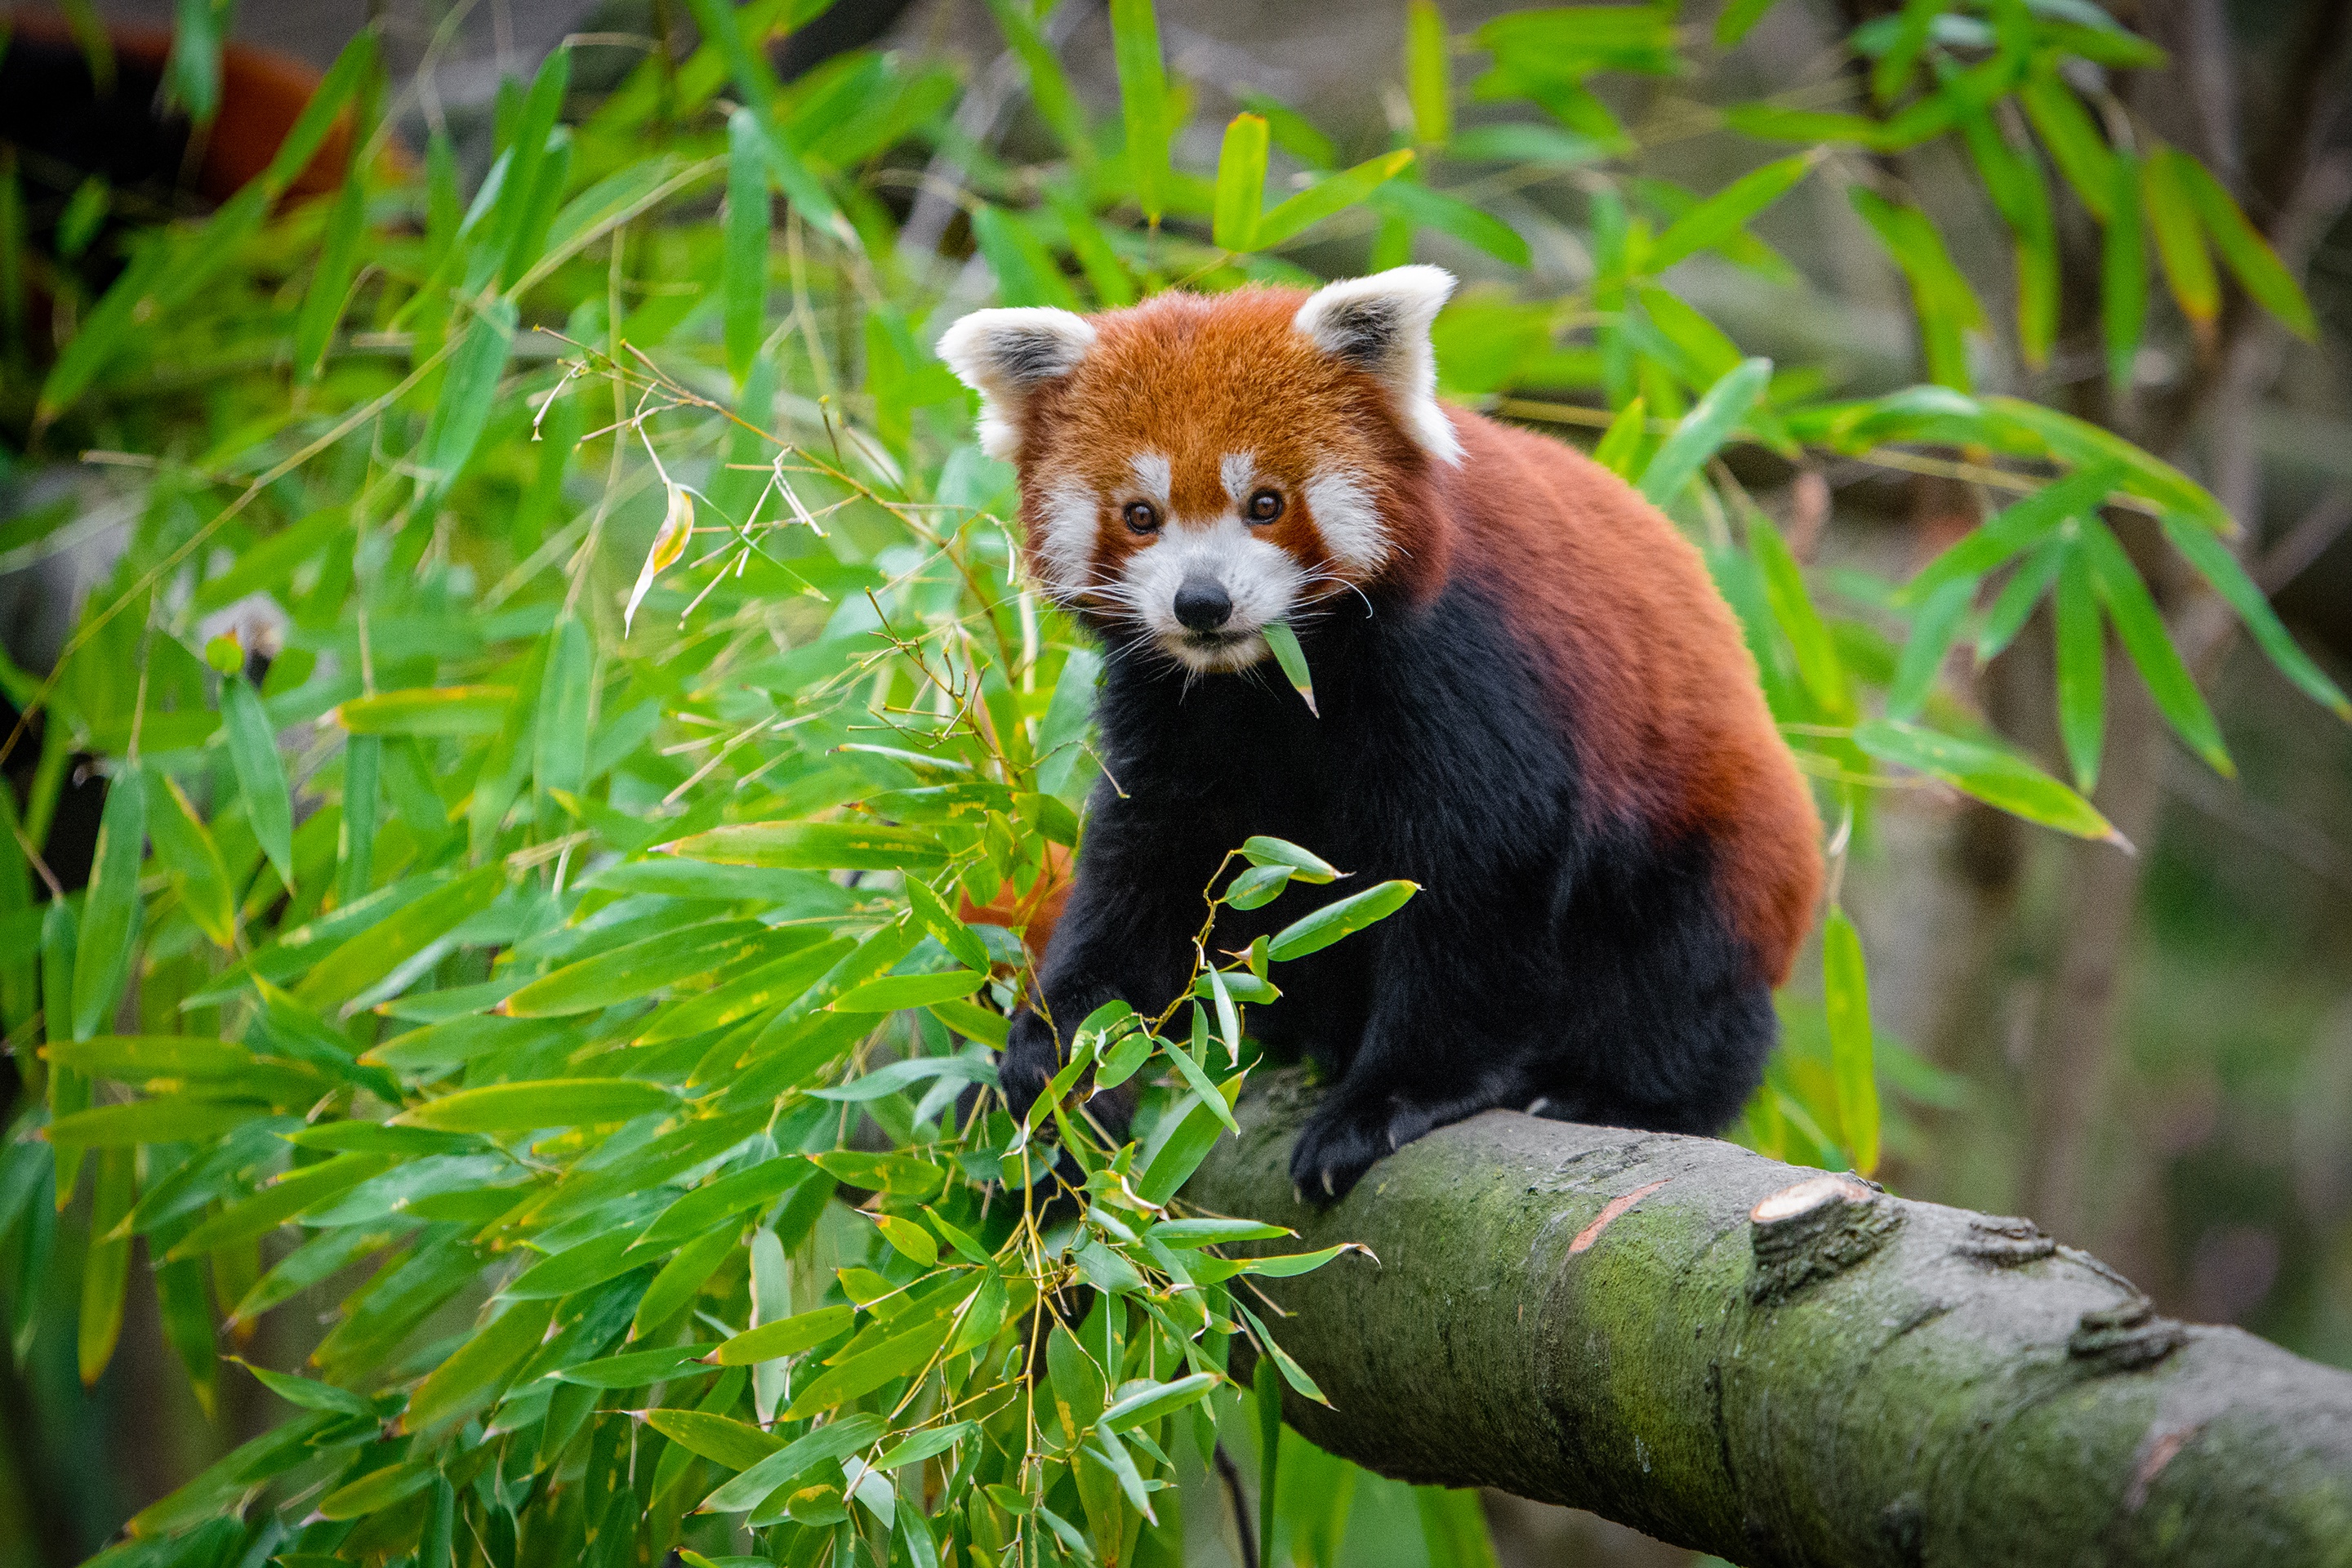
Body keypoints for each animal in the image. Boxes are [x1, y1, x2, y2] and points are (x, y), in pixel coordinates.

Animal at [936, 266, 1815, 1203]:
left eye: (1266, 504)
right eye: (1141, 515)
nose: (1202, 602)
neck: (1273, 682)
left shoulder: (1465, 669)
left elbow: (1477, 882)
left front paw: (1392, 1097)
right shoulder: (1171, 712)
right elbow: (1145, 869)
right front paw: (1059, 1048)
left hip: (1707, 857)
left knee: (1675, 985)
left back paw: (1606, 1094)